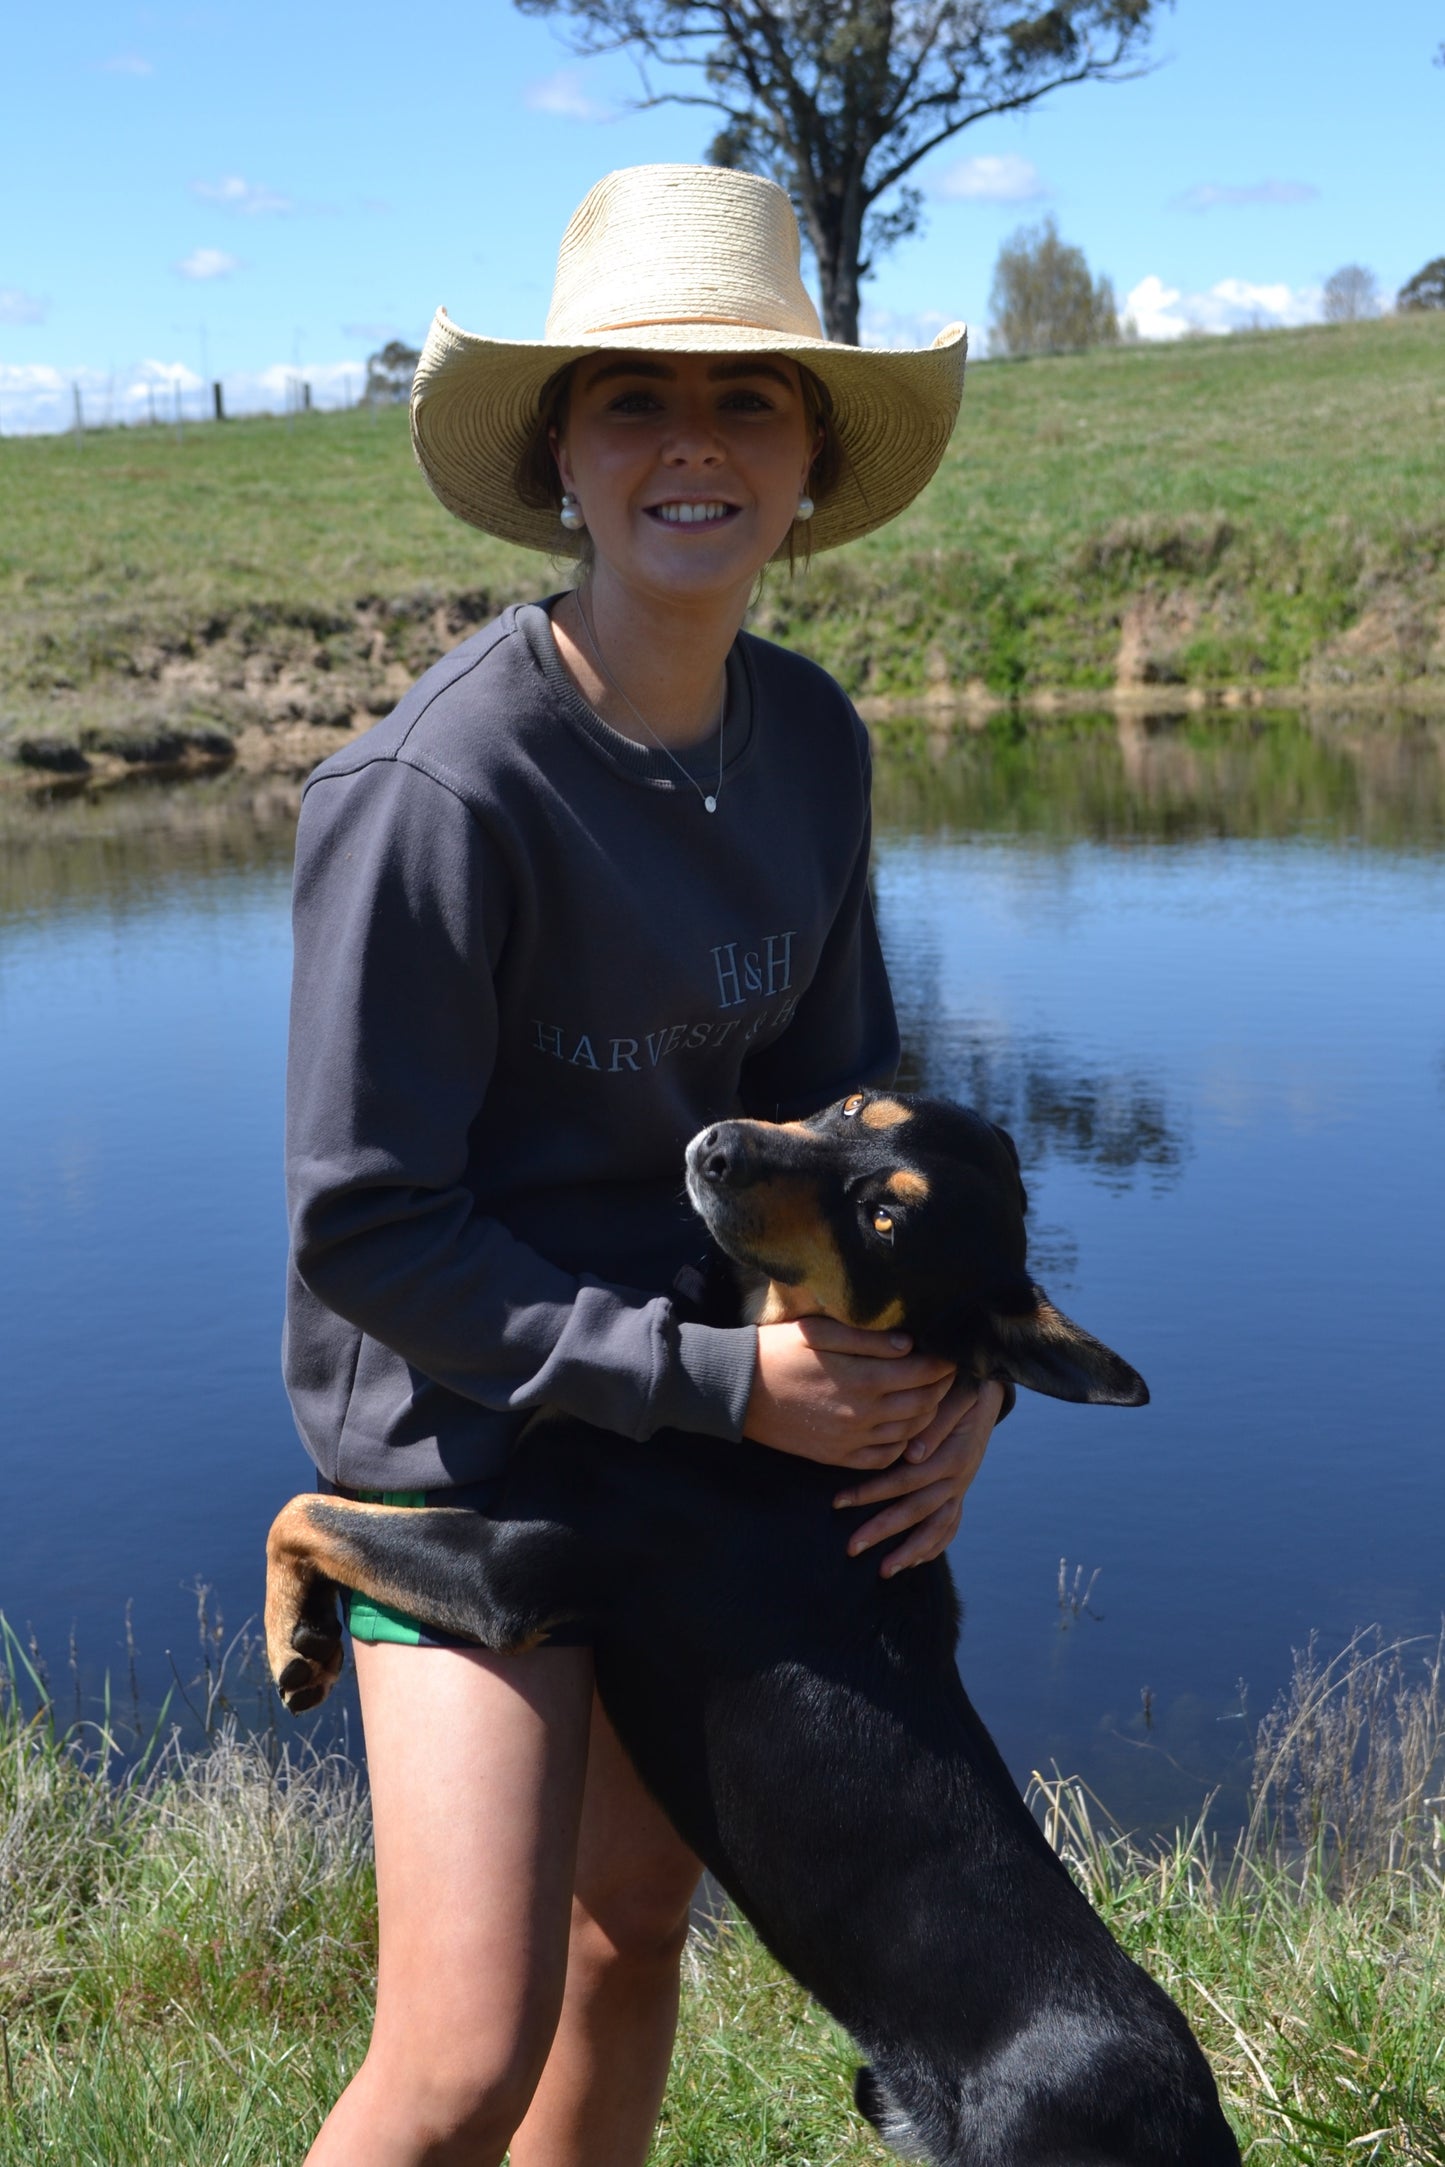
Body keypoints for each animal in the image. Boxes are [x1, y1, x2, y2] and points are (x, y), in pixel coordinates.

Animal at [268, 1100, 1247, 2167]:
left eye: (885, 1223)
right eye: (856, 1105)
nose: (718, 1146)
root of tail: (1190, 2123)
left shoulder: (507, 1575)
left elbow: (305, 1510)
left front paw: (296, 1640)